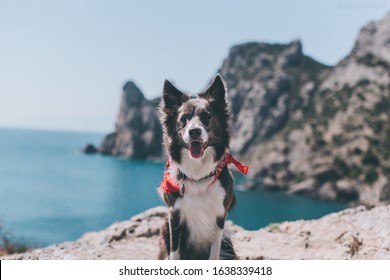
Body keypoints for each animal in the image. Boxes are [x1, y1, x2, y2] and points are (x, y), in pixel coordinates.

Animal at [158, 74, 247, 260]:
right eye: (183, 119)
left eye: (206, 116)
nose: (194, 131)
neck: (198, 174)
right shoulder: (174, 215)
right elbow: (174, 252)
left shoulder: (219, 218)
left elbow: (214, 254)